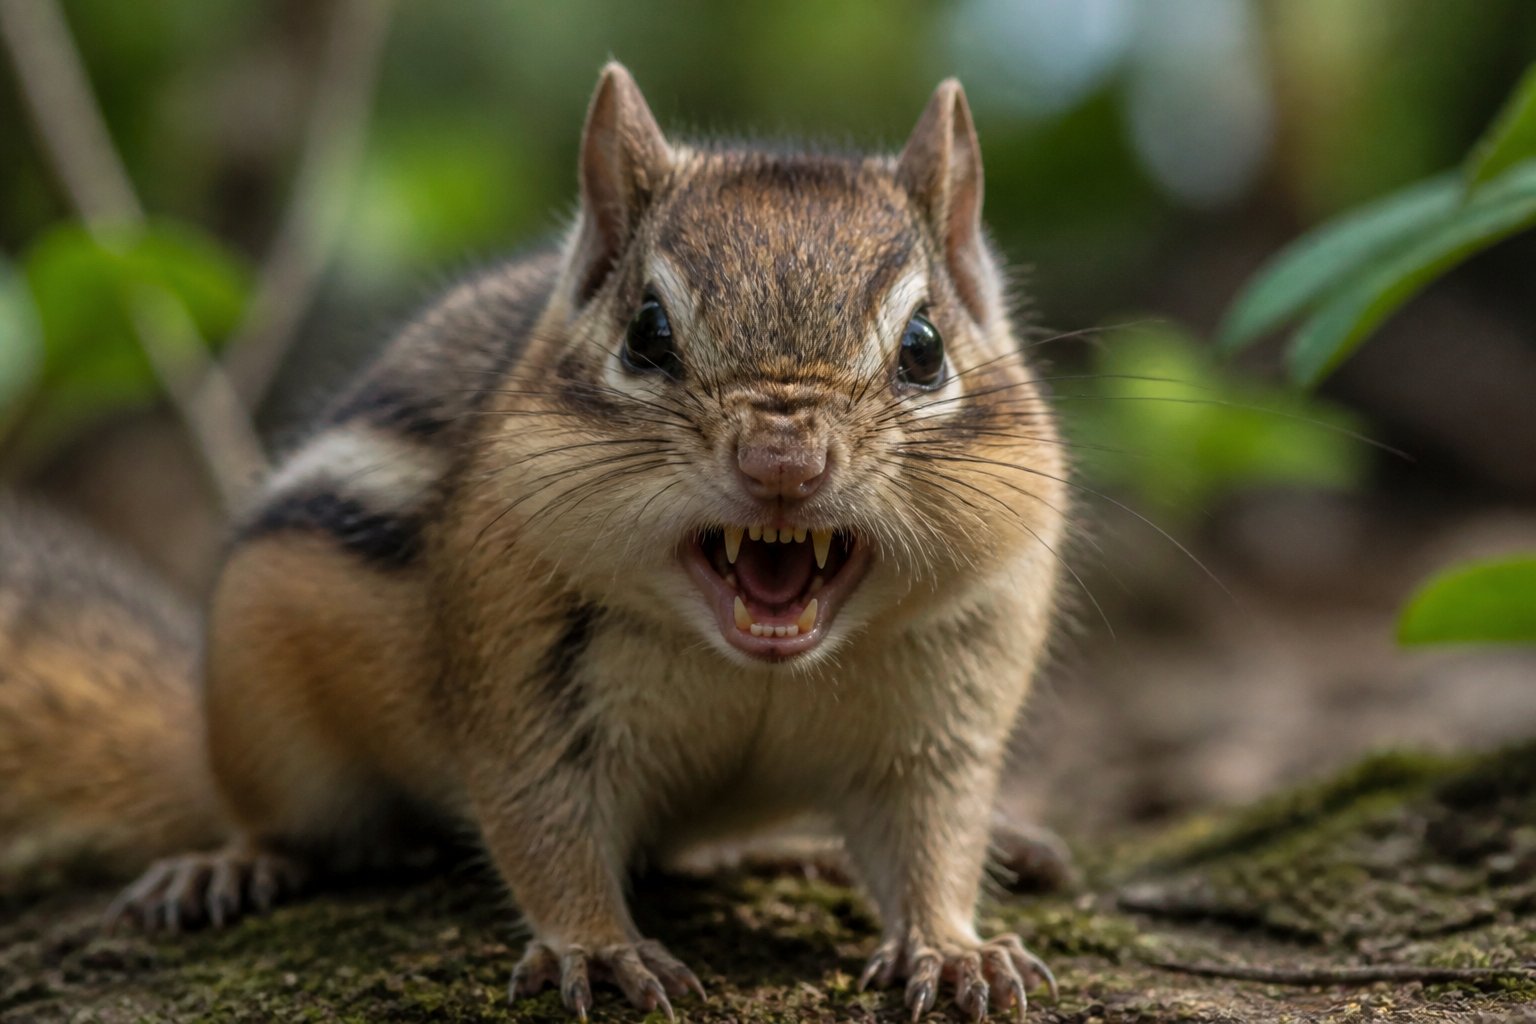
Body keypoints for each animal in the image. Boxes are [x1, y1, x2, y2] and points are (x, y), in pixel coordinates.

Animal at [1, 63, 1071, 1020]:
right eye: (647, 333)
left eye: (924, 348)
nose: (782, 459)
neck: (750, 665)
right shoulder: (522, 692)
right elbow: (544, 833)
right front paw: (596, 949)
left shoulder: (946, 716)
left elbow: (937, 841)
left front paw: (953, 945)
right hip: (266, 704)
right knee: (285, 824)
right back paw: (231, 864)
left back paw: (799, 848)